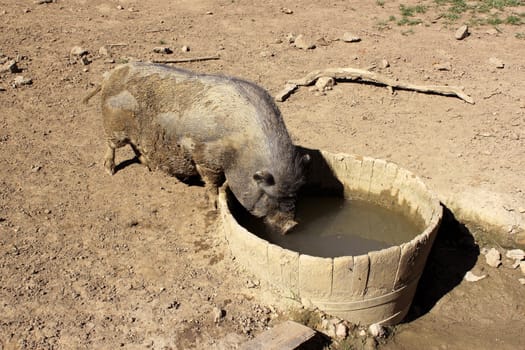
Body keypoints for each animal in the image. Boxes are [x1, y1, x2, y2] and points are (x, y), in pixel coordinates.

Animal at [84, 61, 310, 234]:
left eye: (296, 193)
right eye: (269, 195)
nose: (292, 226)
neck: (240, 151)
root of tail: (111, 73)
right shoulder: (205, 157)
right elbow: (212, 183)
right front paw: (215, 205)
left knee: (137, 148)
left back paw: (148, 166)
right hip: (114, 127)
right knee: (111, 145)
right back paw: (109, 170)